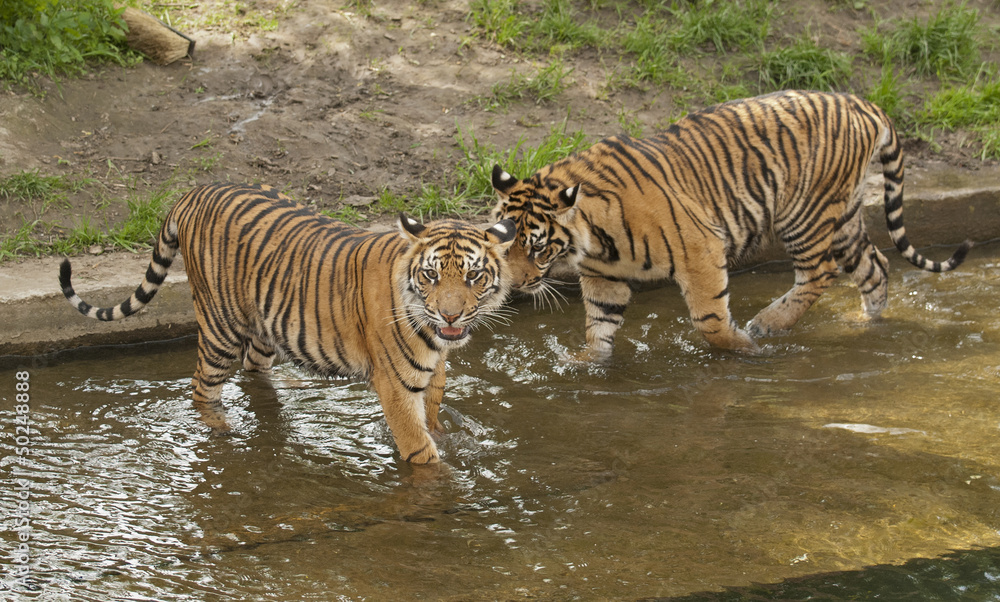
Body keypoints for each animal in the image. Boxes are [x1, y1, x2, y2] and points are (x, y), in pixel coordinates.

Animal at [59, 183, 516, 464]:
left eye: (474, 276)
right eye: (431, 275)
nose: (450, 315)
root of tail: (193, 191)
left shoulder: (433, 375)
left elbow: (435, 420)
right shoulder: (396, 386)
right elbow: (422, 452)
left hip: (266, 328)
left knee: (252, 373)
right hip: (220, 328)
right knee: (201, 389)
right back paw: (223, 431)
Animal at [490, 90, 972, 359]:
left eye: (537, 247)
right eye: (506, 243)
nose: (517, 285)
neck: (594, 240)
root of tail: (862, 102)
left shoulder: (700, 249)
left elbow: (710, 320)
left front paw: (744, 348)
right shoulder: (604, 278)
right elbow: (599, 327)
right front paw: (587, 365)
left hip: (806, 214)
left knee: (821, 273)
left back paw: (769, 324)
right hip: (846, 216)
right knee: (876, 267)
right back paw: (865, 325)